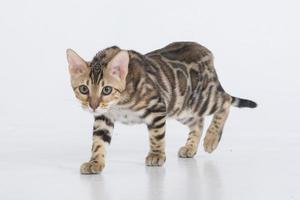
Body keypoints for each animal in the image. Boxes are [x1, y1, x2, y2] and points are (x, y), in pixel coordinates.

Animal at [67, 41, 256, 173]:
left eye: (106, 89)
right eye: (83, 89)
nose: (93, 105)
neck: (118, 103)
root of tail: (208, 54)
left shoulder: (157, 107)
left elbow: (156, 136)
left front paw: (156, 155)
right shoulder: (104, 117)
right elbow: (98, 142)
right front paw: (95, 163)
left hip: (199, 100)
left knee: (225, 101)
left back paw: (211, 139)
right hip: (181, 107)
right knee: (198, 122)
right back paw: (190, 147)